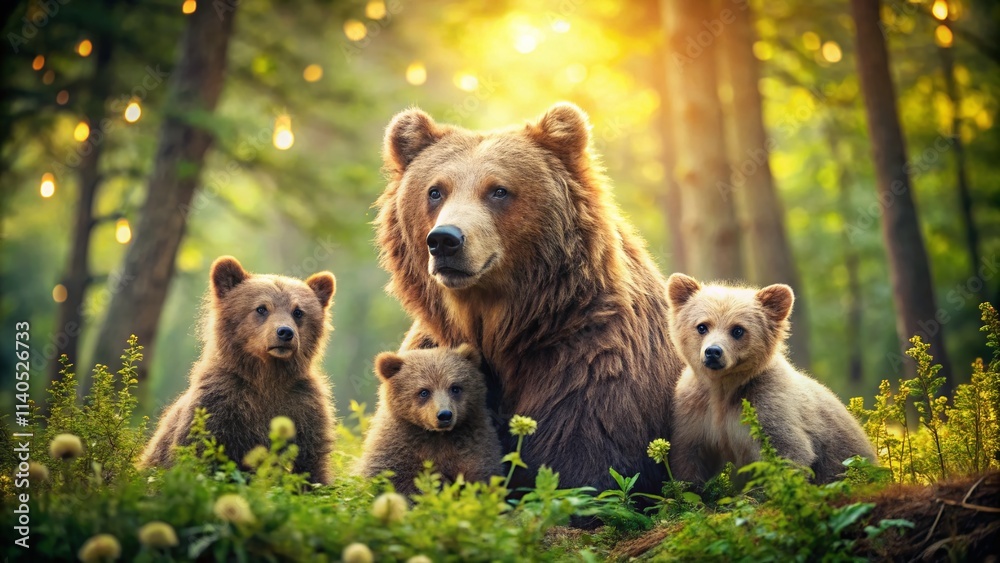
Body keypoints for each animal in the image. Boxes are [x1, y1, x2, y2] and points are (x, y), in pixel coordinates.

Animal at [140, 256, 338, 484]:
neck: (267, 376)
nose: (285, 332)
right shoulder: (219, 405)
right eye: (261, 308)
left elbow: (310, 466)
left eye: (298, 312)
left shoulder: (304, 407)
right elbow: (202, 455)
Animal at [358, 344, 501, 495]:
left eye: (455, 388)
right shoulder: (395, 448)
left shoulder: (472, 442)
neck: (436, 435)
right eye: (424, 391)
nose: (445, 414)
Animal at [374, 102, 684, 497]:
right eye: (435, 191)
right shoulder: (430, 351)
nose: (445, 239)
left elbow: (582, 468)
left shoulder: (591, 364)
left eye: (498, 190)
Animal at [665, 273, 877, 485]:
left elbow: (788, 452)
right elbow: (688, 461)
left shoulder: (767, 406)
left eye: (738, 330)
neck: (724, 387)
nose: (713, 352)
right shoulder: (696, 413)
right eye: (702, 326)